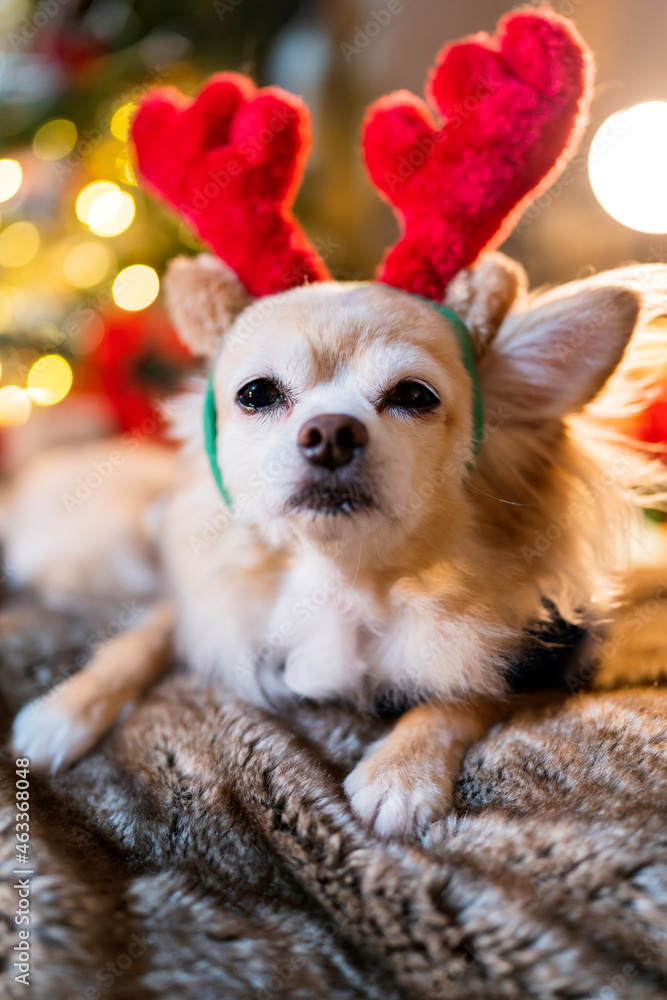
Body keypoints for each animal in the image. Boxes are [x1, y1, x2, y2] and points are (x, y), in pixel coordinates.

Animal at [9, 250, 667, 836]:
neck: (340, 574)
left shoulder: (543, 660)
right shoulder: (207, 603)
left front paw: (402, 772)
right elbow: (140, 639)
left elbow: (459, 697)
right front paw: (63, 709)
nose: (330, 431)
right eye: (256, 394)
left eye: (415, 396)